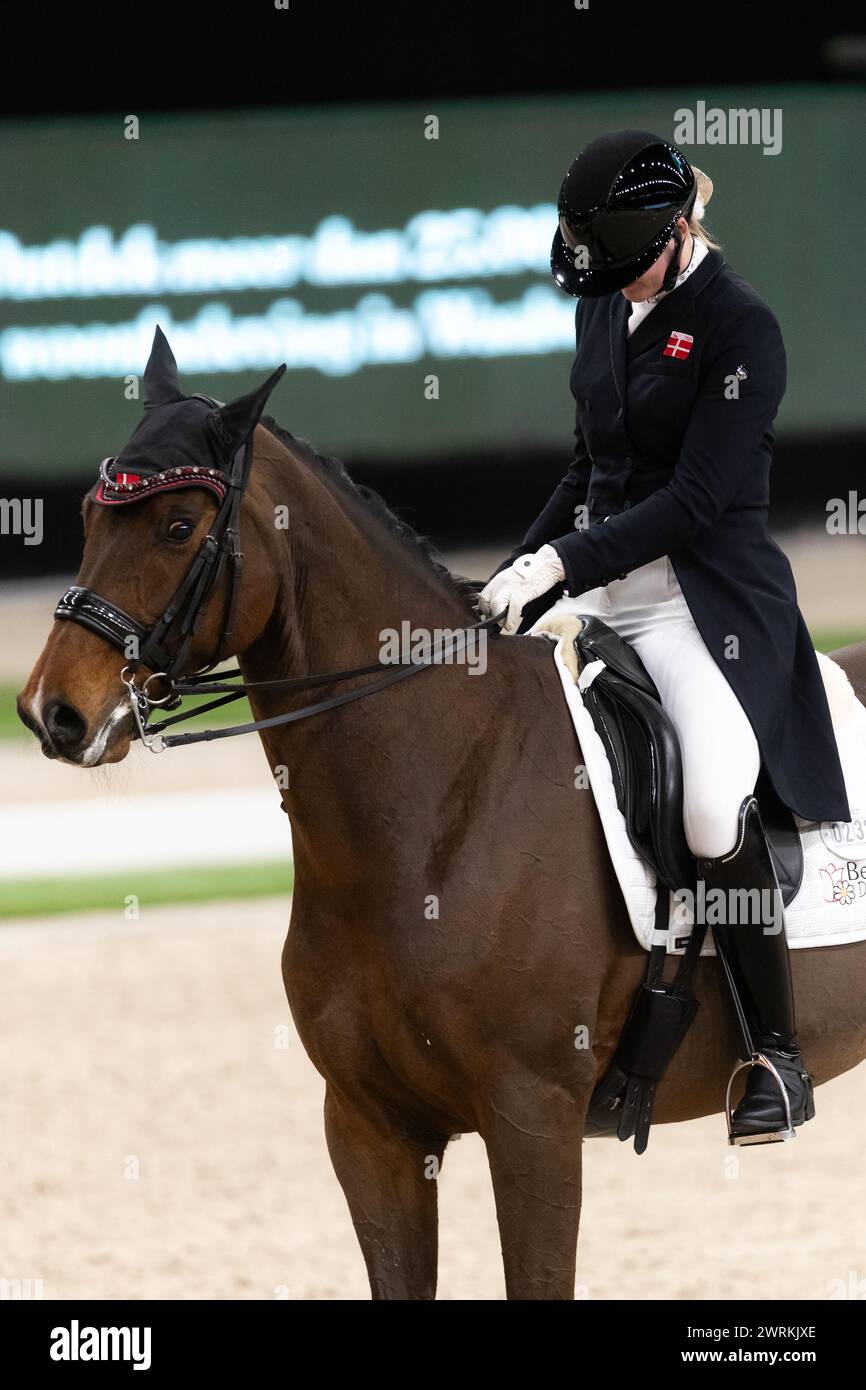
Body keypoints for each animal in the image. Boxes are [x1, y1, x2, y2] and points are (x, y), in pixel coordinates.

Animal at [16, 375, 866, 1295]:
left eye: (178, 526)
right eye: (89, 517)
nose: (51, 712)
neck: (432, 814)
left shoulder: (534, 1121)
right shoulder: (369, 1129)